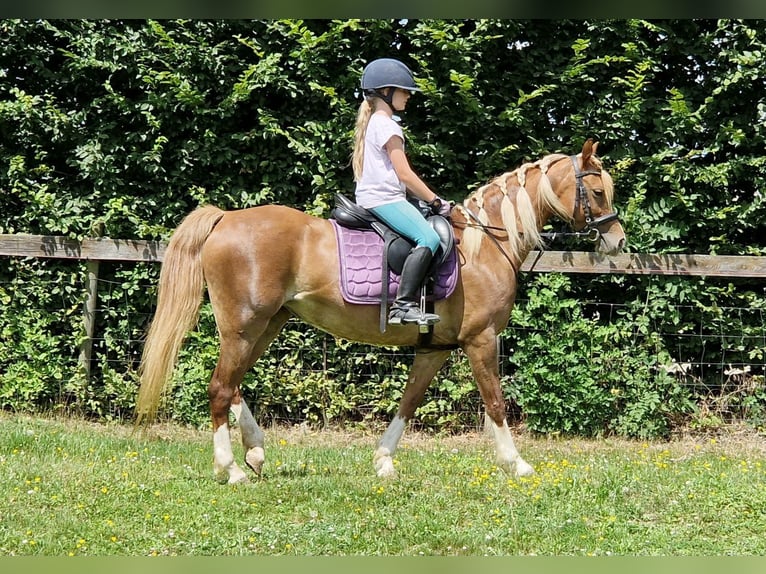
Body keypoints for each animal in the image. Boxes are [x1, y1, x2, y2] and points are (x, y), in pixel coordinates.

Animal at [138, 141, 628, 486]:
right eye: (597, 191)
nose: (618, 241)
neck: (487, 242)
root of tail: (226, 218)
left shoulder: (435, 349)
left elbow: (408, 402)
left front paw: (383, 461)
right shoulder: (481, 340)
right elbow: (495, 402)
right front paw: (517, 463)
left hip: (266, 325)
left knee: (233, 385)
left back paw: (255, 452)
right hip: (244, 326)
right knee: (220, 387)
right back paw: (232, 468)